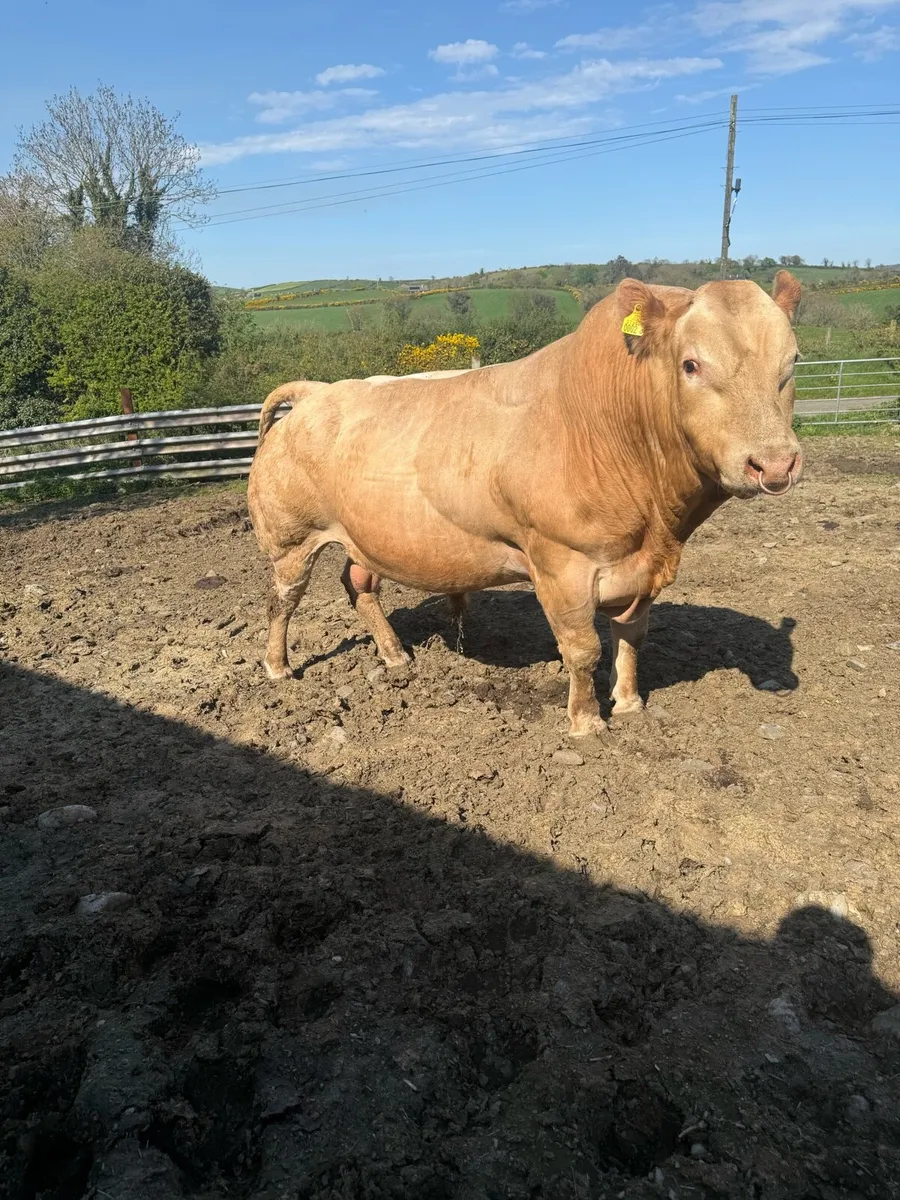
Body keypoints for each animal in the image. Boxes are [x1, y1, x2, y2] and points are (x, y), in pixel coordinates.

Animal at [247, 272, 802, 738]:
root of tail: (315, 393)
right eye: (691, 364)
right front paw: (586, 723)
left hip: (363, 534)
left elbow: (631, 636)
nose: (774, 463)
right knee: (282, 600)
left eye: (792, 361)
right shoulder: (561, 562)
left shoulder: (640, 569)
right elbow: (582, 649)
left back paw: (395, 656)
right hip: (291, 538)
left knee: (359, 584)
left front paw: (628, 703)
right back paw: (277, 668)